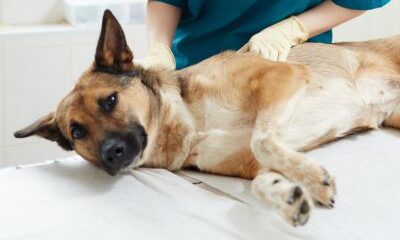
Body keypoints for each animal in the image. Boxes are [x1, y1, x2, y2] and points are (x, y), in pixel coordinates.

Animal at [14, 9, 400, 227]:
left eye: (109, 101)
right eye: (77, 132)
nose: (111, 155)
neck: (190, 123)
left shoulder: (280, 76)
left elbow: (262, 138)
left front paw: (312, 180)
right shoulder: (252, 163)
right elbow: (262, 175)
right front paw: (289, 194)